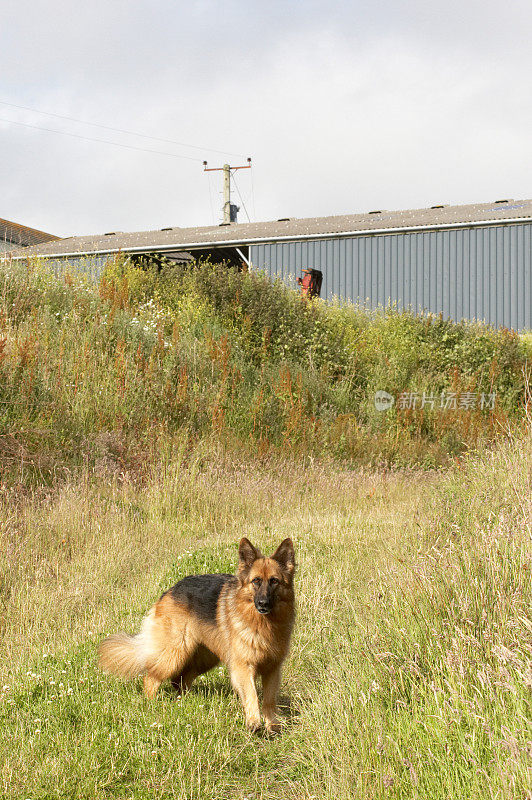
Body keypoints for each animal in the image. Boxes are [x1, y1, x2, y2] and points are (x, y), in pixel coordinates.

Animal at [98, 536, 296, 732]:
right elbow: (252, 695)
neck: (262, 623)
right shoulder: (243, 666)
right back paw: (151, 705)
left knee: (179, 680)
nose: (263, 604)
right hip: (174, 654)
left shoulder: (272, 669)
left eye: (274, 581)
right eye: (256, 581)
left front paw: (272, 726)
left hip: (203, 658)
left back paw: (183, 702)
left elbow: (269, 700)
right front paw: (254, 723)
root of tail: (169, 590)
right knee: (151, 678)